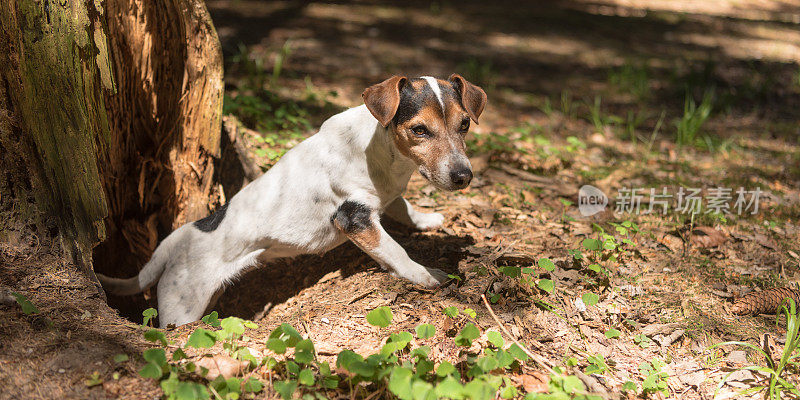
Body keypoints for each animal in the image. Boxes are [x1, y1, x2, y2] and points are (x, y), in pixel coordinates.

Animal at [100, 73, 488, 326]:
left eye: (465, 124)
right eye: (419, 130)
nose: (463, 176)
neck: (381, 151)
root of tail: (175, 240)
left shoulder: (386, 196)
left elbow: (402, 208)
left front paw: (427, 218)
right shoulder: (353, 218)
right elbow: (396, 251)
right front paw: (426, 276)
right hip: (181, 307)